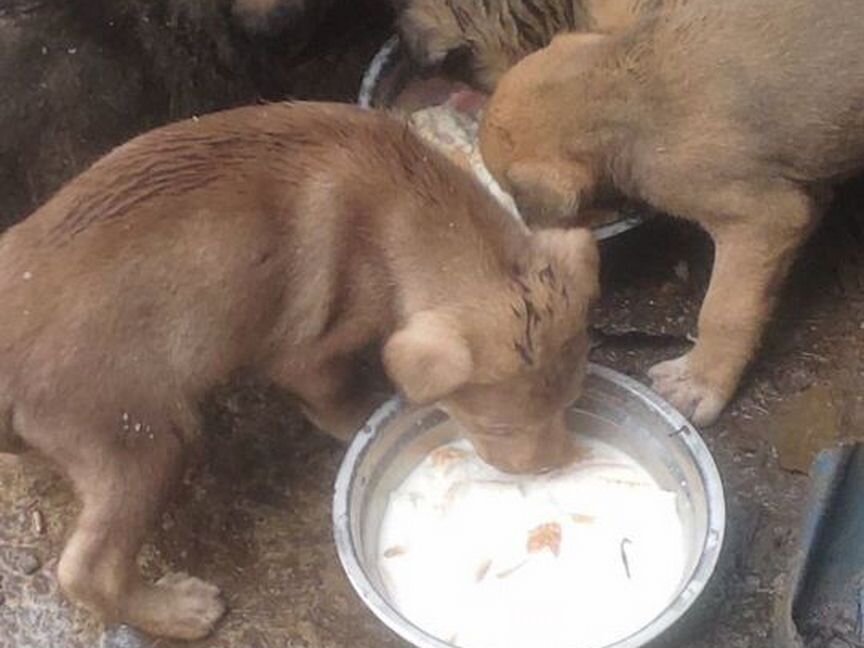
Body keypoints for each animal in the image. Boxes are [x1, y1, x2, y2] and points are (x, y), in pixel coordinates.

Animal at [0, 104, 596, 640]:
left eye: (572, 403)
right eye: (499, 428)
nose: (554, 465)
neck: (407, 206)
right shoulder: (307, 355)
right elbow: (338, 402)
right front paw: (361, 422)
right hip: (144, 438)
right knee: (87, 570)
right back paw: (179, 612)